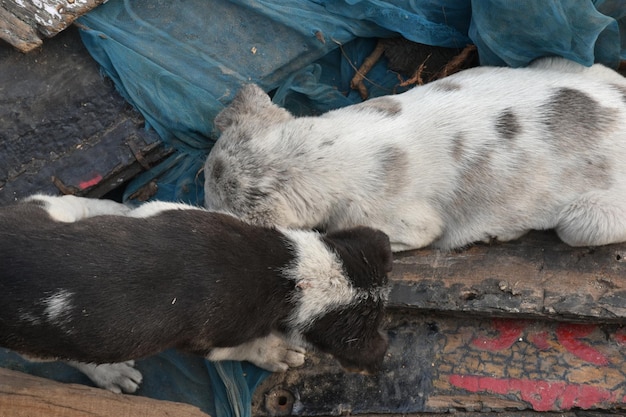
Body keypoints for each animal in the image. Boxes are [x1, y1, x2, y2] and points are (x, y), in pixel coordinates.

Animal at [1, 193, 390, 392]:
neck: (285, 275)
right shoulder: (208, 339)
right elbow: (240, 349)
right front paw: (274, 352)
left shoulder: (172, 212)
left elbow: (151, 210)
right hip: (38, 340)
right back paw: (111, 374)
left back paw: (113, 210)